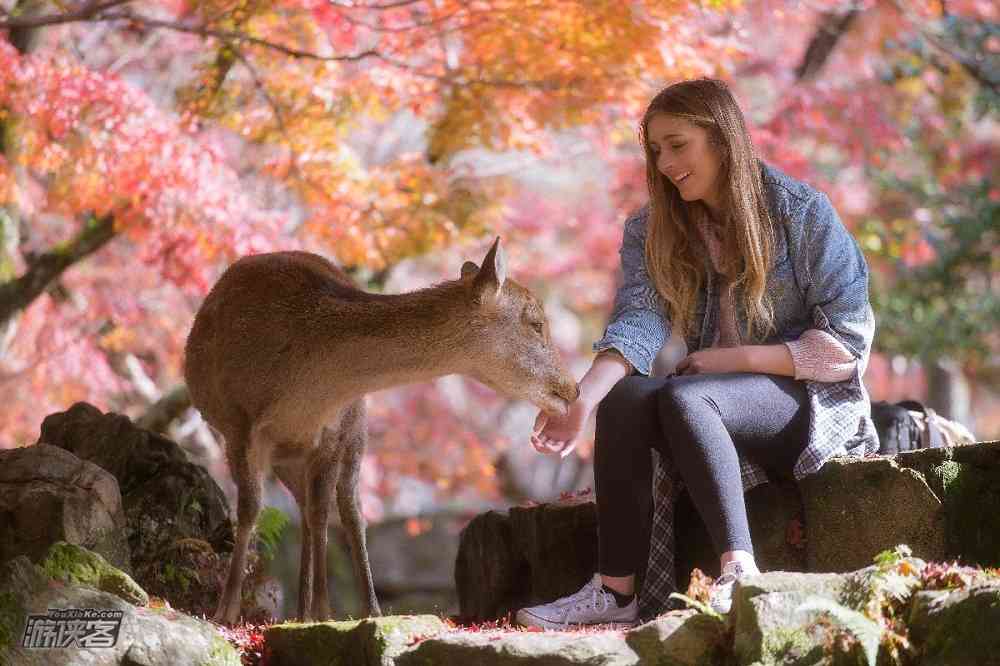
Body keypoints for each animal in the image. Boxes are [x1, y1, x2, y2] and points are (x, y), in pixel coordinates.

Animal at [184, 239, 584, 624]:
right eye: (536, 323)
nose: (573, 389)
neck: (300, 390)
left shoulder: (334, 429)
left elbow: (323, 512)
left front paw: (323, 612)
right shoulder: (238, 424)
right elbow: (250, 509)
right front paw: (226, 611)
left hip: (355, 426)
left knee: (346, 509)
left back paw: (358, 609)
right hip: (289, 454)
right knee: (304, 507)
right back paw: (300, 610)